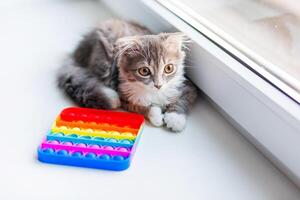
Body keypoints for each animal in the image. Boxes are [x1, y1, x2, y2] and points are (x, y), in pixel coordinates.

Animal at [57, 18, 198, 131]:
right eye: (144, 71)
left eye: (168, 68)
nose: (158, 85)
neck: (155, 93)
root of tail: (77, 52)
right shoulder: (125, 95)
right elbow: (140, 108)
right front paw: (156, 115)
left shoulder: (188, 86)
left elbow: (182, 101)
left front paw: (175, 119)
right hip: (105, 60)